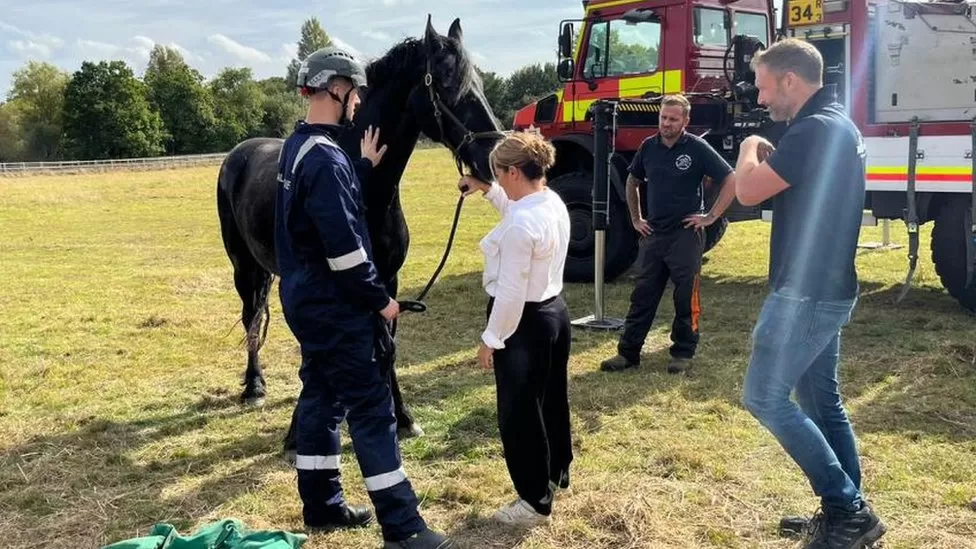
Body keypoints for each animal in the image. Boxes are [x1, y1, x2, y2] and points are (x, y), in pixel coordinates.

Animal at [214, 16, 504, 446]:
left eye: (481, 84)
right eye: (447, 83)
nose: (495, 157)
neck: (369, 192)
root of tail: (240, 152)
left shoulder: (387, 282)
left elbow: (389, 347)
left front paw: (402, 417)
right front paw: (298, 431)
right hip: (244, 267)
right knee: (250, 318)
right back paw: (254, 387)